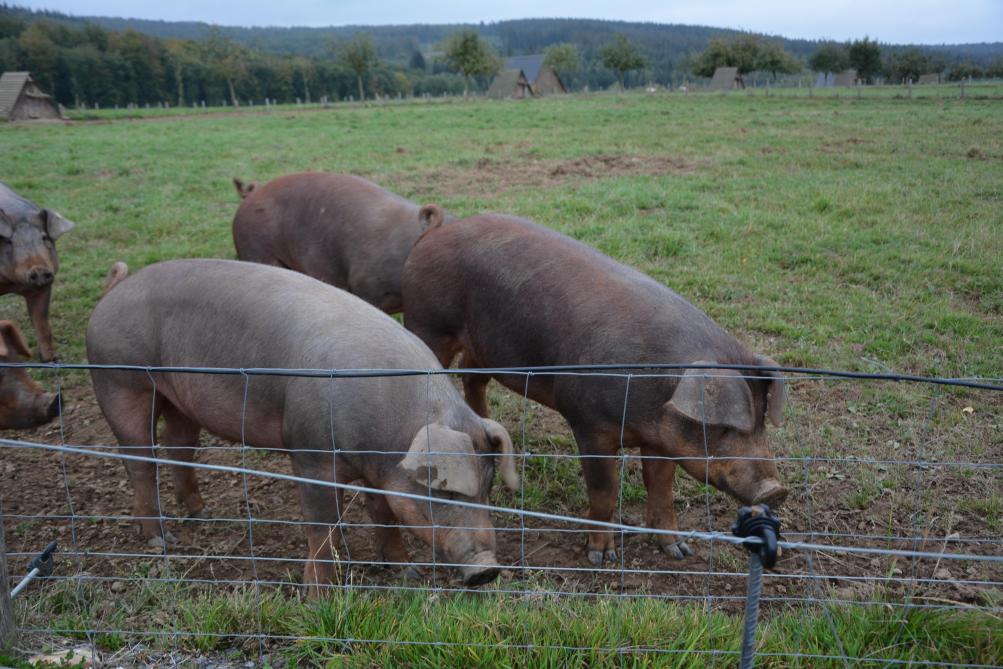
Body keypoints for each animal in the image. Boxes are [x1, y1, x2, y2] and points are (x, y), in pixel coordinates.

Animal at [0, 180, 75, 361]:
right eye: (9, 241)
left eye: (44, 237)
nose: (39, 268)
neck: (12, 284)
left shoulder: (44, 287)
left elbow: (42, 323)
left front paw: (51, 360)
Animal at [88, 258, 517, 589]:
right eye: (442, 489)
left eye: (488, 485)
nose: (487, 569)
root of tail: (115, 289)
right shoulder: (310, 453)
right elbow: (322, 525)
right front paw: (319, 595)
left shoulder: (378, 471)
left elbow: (383, 513)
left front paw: (406, 572)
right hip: (120, 379)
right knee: (139, 460)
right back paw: (161, 540)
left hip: (180, 401)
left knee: (179, 446)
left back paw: (199, 513)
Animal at [403, 214, 786, 565]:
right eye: (722, 427)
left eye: (761, 421)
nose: (776, 490)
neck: (649, 402)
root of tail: (439, 228)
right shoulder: (588, 424)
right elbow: (605, 489)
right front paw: (601, 558)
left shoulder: (663, 441)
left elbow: (661, 487)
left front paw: (678, 550)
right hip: (429, 323)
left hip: (487, 348)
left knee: (473, 379)